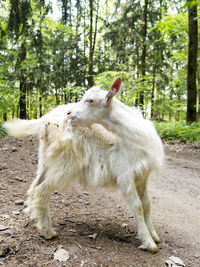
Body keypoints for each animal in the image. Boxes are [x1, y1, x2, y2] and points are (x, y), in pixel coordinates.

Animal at [3, 77, 164, 253]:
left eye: (90, 100)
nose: (69, 113)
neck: (134, 135)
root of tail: (45, 119)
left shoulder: (142, 176)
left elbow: (147, 204)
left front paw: (154, 235)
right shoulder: (124, 173)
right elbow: (138, 206)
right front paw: (149, 243)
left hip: (46, 160)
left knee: (34, 186)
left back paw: (35, 218)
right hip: (64, 163)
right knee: (41, 190)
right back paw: (48, 232)